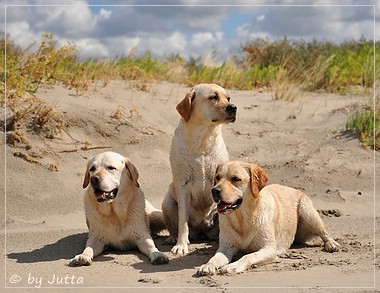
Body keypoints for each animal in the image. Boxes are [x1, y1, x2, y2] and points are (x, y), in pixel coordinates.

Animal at [163, 82, 238, 253]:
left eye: (228, 98)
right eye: (213, 97)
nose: (234, 107)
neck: (203, 140)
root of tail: (202, 231)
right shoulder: (182, 186)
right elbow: (182, 222)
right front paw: (181, 245)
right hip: (167, 202)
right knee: (173, 226)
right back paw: (172, 238)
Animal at [197, 160, 340, 274]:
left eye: (236, 179)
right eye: (217, 177)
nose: (215, 190)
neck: (243, 218)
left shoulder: (269, 249)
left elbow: (249, 256)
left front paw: (233, 266)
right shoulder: (226, 247)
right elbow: (215, 257)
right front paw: (207, 266)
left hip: (308, 211)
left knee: (324, 232)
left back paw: (331, 244)